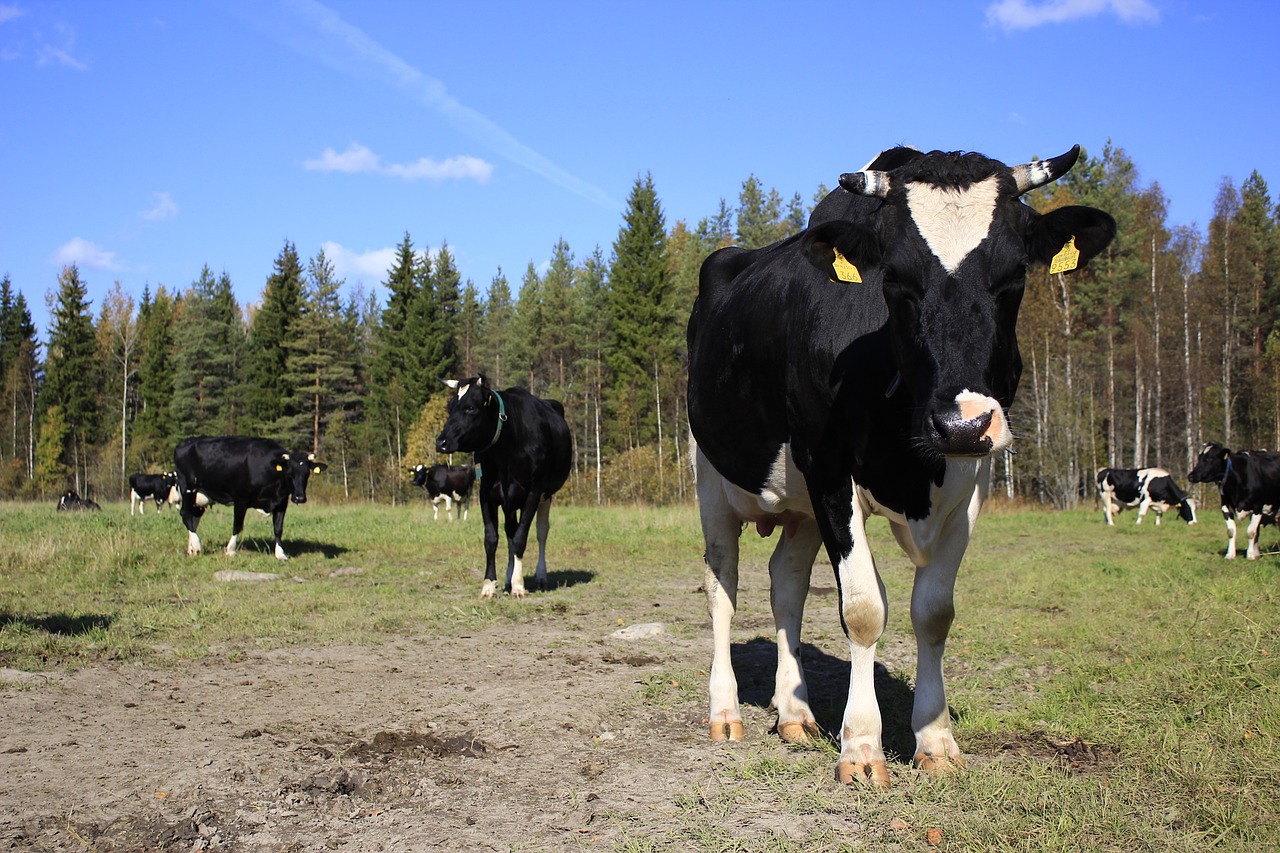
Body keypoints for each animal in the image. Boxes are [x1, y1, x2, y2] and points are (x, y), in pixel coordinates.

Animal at [172, 435, 327, 560]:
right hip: (188, 487)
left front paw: (280, 554)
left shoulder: (282, 502)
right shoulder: (240, 499)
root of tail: (186, 442)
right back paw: (197, 546)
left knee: (194, 517)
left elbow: (278, 528)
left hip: (201, 495)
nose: (299, 498)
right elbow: (237, 525)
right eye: (289, 473)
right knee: (186, 514)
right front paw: (230, 550)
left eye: (307, 473)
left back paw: (191, 549)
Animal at [437, 371, 573, 596]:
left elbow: (520, 538)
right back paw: (508, 579)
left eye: (470, 408)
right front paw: (489, 585)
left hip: (546, 495)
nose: (441, 442)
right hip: (509, 500)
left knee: (541, 532)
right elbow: (492, 539)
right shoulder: (487, 493)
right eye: (449, 408)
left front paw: (519, 585)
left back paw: (540, 577)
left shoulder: (533, 492)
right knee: (510, 531)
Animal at [686, 140, 1116, 783]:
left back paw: (794, 713)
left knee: (786, 584)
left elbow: (934, 611)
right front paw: (862, 747)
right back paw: (725, 713)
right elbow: (864, 608)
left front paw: (935, 741)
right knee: (723, 585)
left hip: (800, 502)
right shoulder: (830, 469)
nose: (961, 422)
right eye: (894, 278)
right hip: (712, 476)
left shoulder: (971, 479)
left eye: (1015, 276)